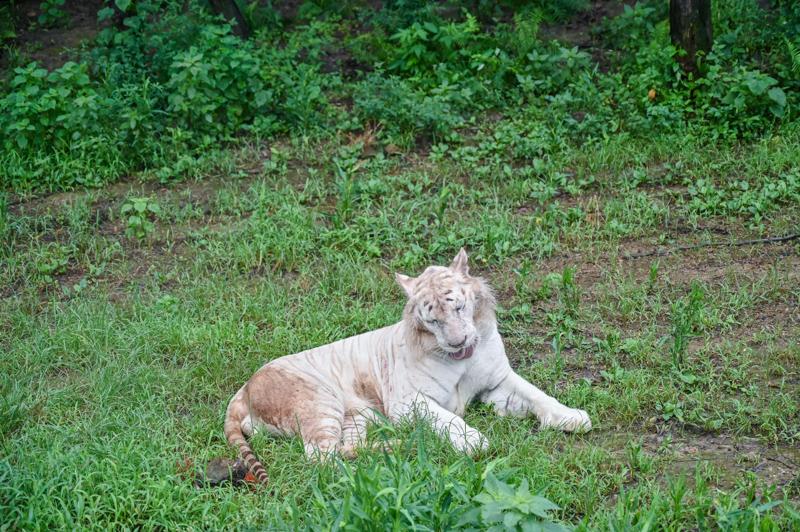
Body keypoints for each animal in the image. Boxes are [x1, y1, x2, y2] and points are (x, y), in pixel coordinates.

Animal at [222, 249, 592, 482]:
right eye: (433, 320)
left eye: (458, 308)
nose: (457, 342)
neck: (463, 359)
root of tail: (242, 390)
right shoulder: (408, 402)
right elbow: (448, 419)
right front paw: (474, 442)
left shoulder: (498, 383)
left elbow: (538, 395)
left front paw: (574, 417)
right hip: (321, 401)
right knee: (320, 459)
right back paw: (400, 450)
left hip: (355, 417)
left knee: (344, 448)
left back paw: (401, 447)